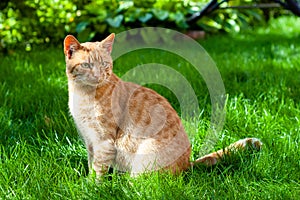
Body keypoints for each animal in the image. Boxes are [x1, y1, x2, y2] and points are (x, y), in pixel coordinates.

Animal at [63, 34, 262, 177]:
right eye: (87, 65)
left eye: (104, 64)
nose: (99, 75)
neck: (82, 95)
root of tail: (187, 164)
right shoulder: (90, 140)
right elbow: (91, 165)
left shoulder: (103, 141)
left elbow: (98, 169)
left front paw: (93, 188)